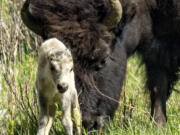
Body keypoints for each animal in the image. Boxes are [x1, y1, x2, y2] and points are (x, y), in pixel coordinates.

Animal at [21, 0, 180, 130]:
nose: (90, 123)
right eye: (53, 67)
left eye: (103, 59)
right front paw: (159, 126)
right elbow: (158, 87)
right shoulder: (156, 49)